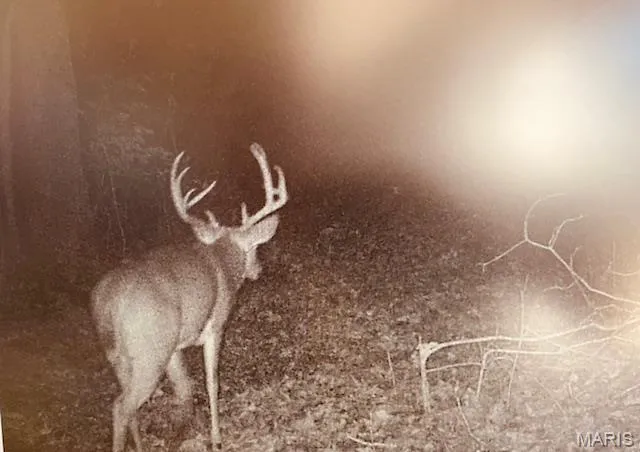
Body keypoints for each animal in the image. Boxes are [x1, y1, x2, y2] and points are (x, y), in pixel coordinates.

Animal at [91, 143, 288, 452]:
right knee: (121, 406)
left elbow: (184, 387)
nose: (258, 270)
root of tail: (109, 302)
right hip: (150, 352)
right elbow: (211, 381)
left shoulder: (176, 347)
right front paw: (216, 438)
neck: (222, 258)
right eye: (255, 248)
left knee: (128, 405)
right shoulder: (216, 326)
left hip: (118, 355)